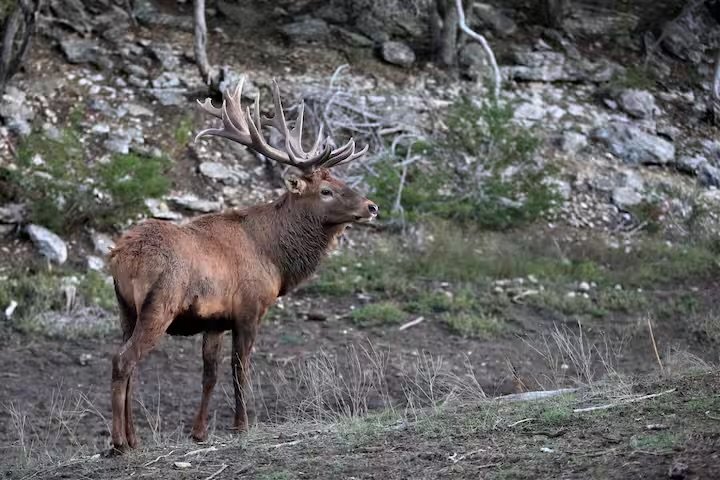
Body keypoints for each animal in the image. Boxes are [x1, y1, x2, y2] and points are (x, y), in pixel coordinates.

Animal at [107, 77, 378, 453]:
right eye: (326, 190)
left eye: (340, 181)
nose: (371, 206)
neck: (274, 258)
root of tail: (122, 255)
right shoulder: (250, 308)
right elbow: (241, 369)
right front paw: (241, 425)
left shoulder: (214, 320)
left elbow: (209, 374)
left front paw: (199, 432)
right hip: (159, 305)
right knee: (123, 360)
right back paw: (119, 442)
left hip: (124, 308)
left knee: (129, 363)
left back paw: (133, 438)